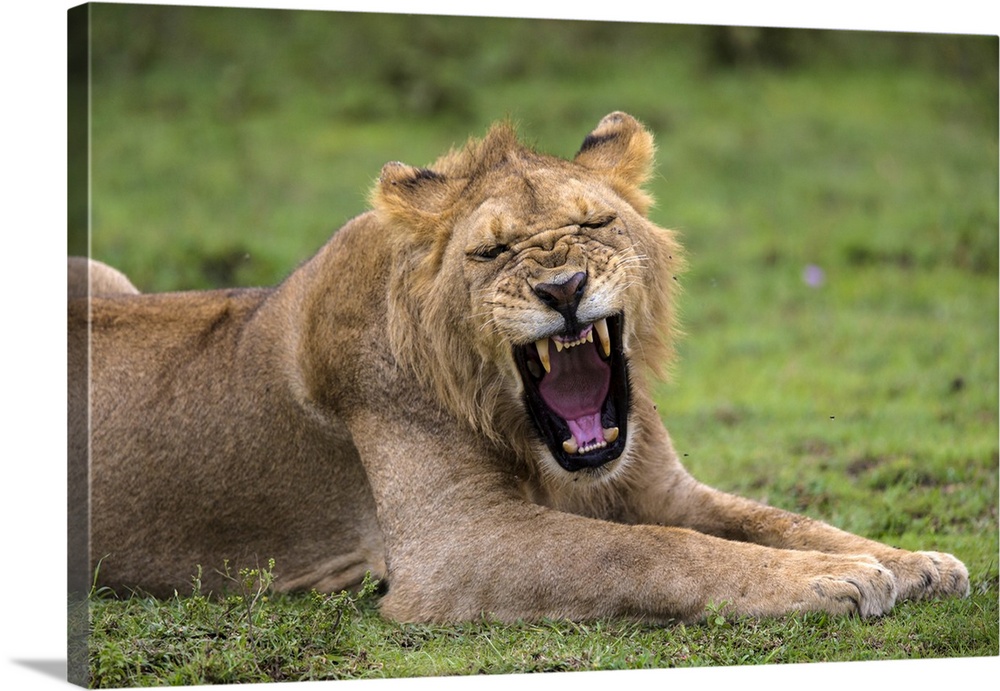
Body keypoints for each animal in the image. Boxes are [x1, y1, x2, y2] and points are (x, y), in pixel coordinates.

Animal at [66, 112, 964, 620]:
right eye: (491, 251)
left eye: (596, 223)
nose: (562, 288)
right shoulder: (457, 544)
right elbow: (650, 550)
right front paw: (834, 580)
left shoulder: (666, 488)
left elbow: (780, 519)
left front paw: (906, 560)